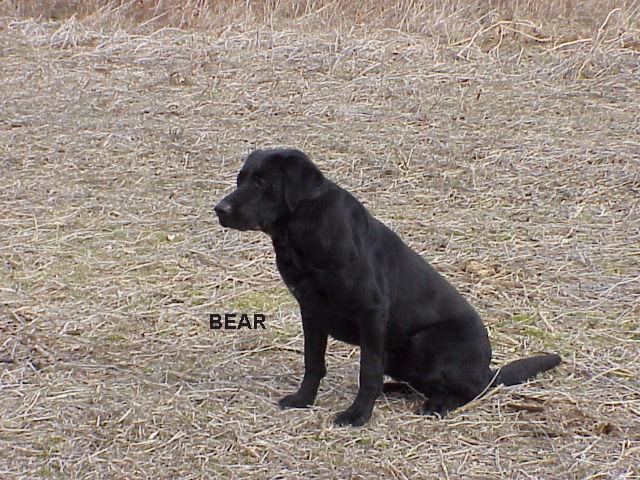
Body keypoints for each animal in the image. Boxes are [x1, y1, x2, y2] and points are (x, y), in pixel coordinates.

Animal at [215, 148, 561, 427]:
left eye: (262, 183)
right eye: (240, 179)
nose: (220, 209)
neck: (303, 235)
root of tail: (489, 371)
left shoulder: (371, 313)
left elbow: (367, 372)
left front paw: (357, 415)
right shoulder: (310, 311)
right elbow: (313, 362)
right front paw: (303, 400)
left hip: (424, 342)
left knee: (470, 391)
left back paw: (437, 404)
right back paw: (392, 389)